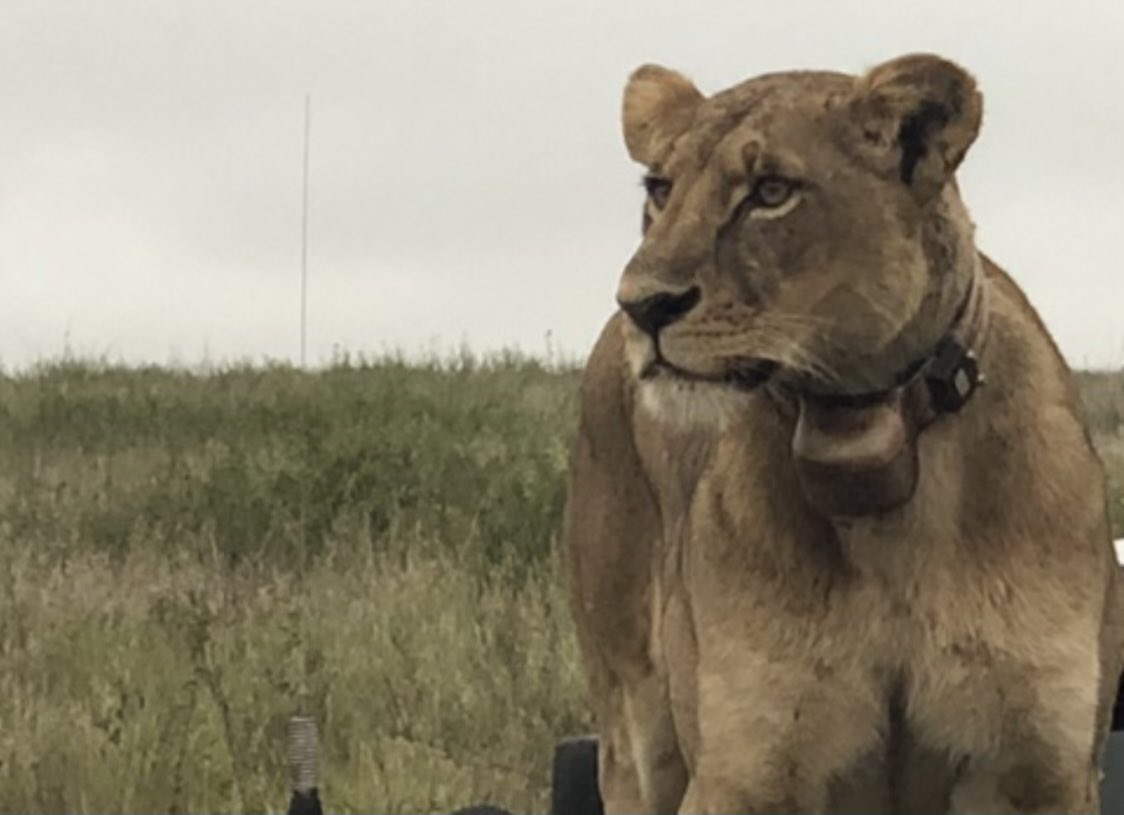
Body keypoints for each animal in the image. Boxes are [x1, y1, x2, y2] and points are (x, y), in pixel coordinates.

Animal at [562, 53, 1122, 814]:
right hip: (635, 729)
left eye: (771, 191)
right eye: (661, 190)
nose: (641, 305)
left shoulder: (1038, 769)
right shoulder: (745, 772)